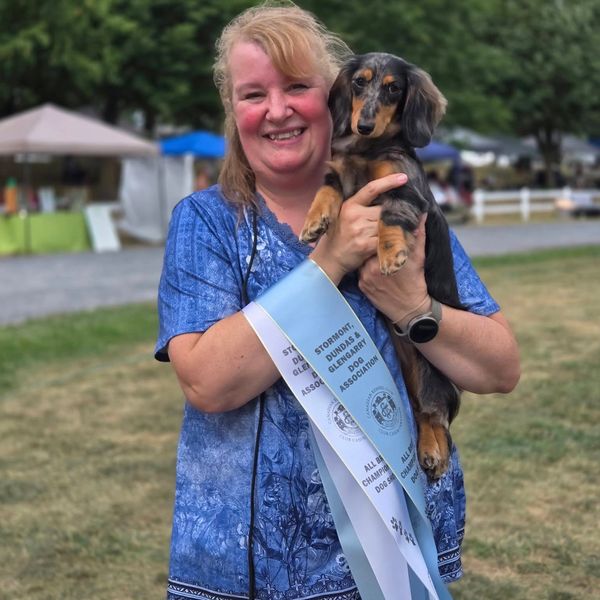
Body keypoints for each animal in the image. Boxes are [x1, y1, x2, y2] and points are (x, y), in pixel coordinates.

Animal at [300, 52, 463, 479]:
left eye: (393, 88)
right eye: (360, 82)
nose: (364, 124)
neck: (367, 150)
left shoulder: (403, 190)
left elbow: (391, 214)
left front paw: (391, 253)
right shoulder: (337, 173)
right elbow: (326, 188)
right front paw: (315, 220)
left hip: (428, 371)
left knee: (435, 416)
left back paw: (434, 454)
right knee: (422, 413)